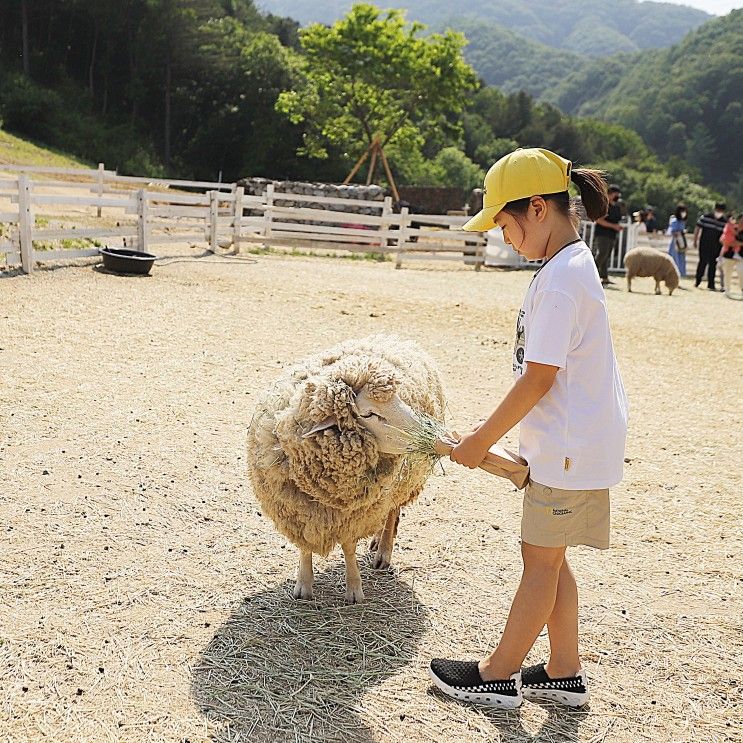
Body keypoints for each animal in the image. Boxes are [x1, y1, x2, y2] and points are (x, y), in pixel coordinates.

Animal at [250, 334, 448, 600]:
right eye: (370, 414)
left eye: (398, 399)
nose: (431, 431)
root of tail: (399, 339)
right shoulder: (298, 512)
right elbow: (304, 546)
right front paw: (304, 584)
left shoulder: (354, 514)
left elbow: (349, 547)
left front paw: (354, 588)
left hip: (404, 481)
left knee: (392, 512)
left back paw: (383, 550)